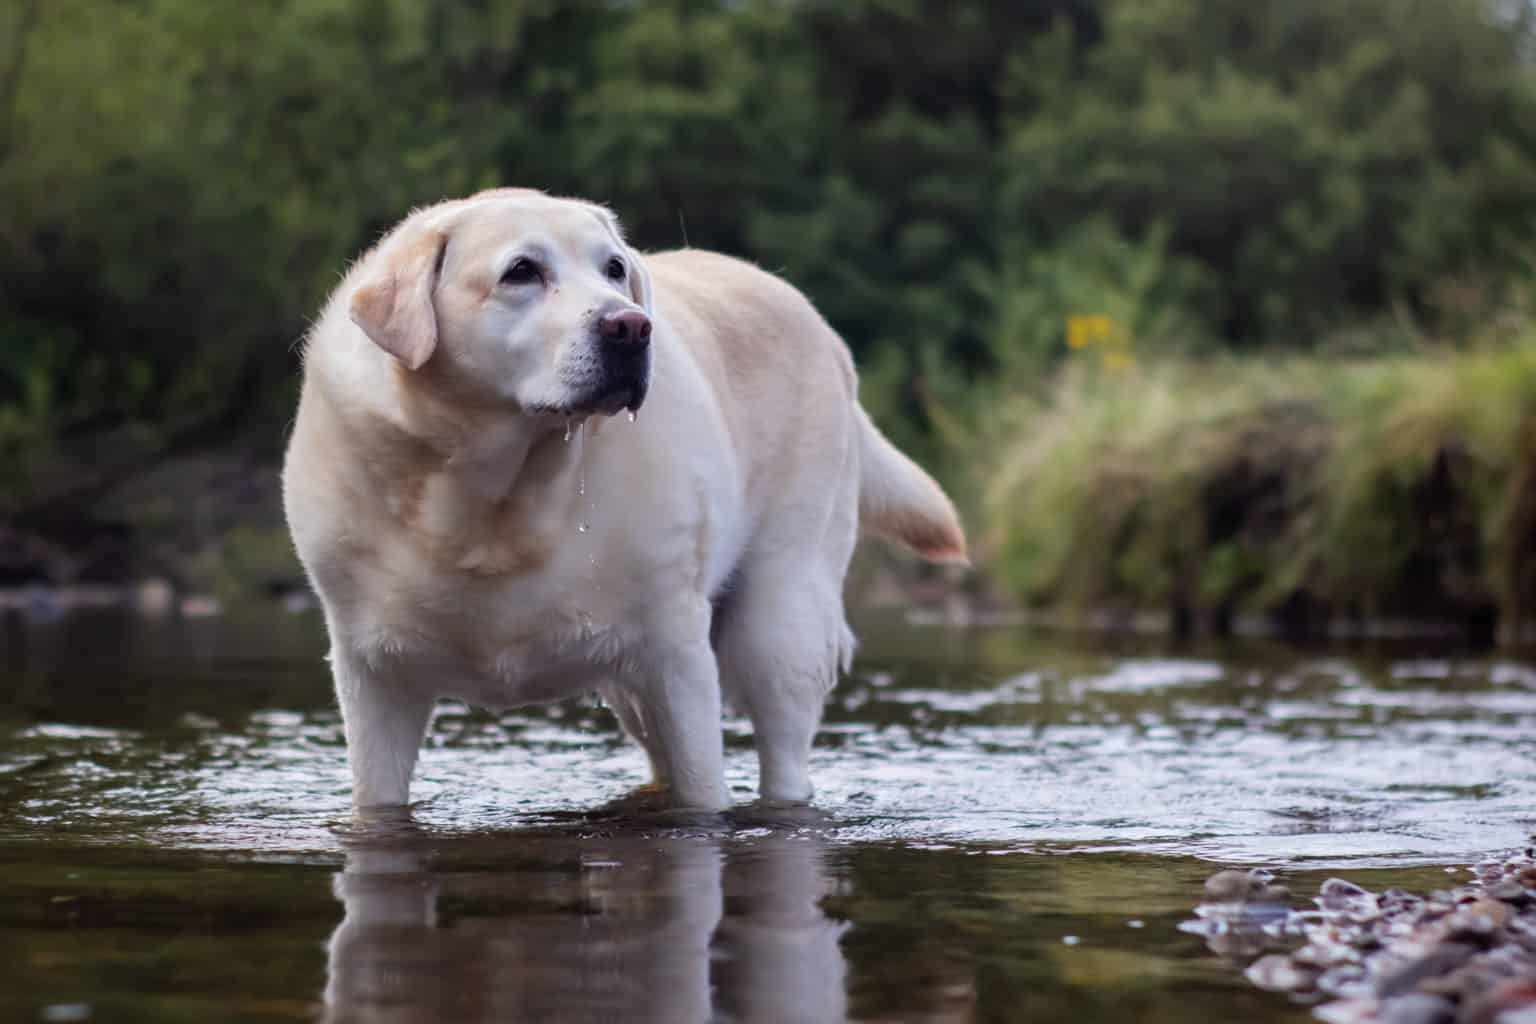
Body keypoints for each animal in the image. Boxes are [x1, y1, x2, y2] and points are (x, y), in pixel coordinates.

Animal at [282, 188, 964, 810]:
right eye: (521, 271)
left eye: (613, 267)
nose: (632, 326)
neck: (492, 498)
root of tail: (821, 325)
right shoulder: (373, 675)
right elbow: (376, 795)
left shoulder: (676, 652)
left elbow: (703, 794)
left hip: (780, 621)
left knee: (785, 755)